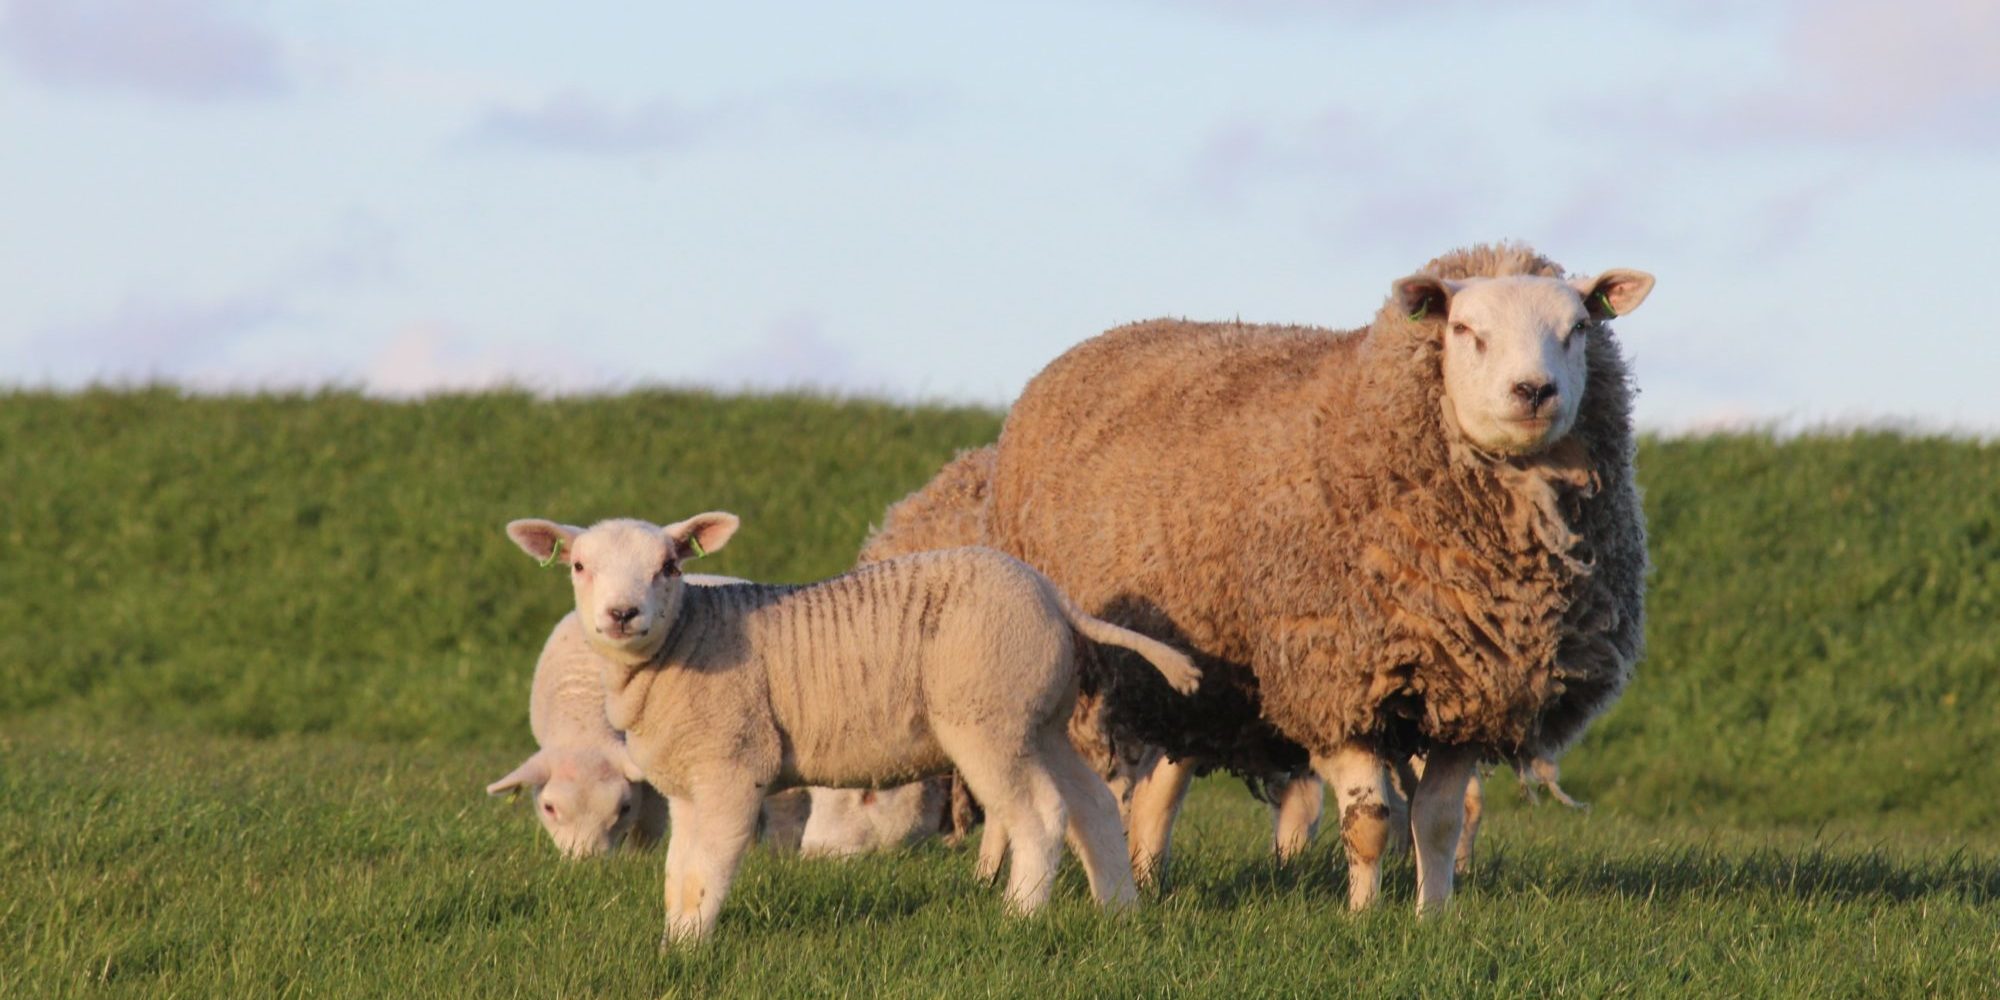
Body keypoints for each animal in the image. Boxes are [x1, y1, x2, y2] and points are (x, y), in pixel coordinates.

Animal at [504, 513, 1202, 943]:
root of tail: (1053, 596)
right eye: (579, 567)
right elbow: (679, 871)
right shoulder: (685, 785)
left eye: (670, 567)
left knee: (1039, 814)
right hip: (1040, 718)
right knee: (1092, 805)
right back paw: (1119, 913)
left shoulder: (734, 764)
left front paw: (695, 946)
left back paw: (1019, 918)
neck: (686, 640)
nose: (623, 614)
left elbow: (712, 863)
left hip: (988, 715)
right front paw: (675, 938)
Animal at [982, 242, 1653, 914]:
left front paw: (1432, 915)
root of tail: (1098, 341)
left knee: (1160, 794)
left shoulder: (1473, 688)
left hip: (1197, 683)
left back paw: (1145, 877)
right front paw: (1362, 915)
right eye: (1465, 330)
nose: (1533, 390)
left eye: (1578, 329)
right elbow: (1370, 821)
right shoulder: (1331, 674)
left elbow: (1438, 820)